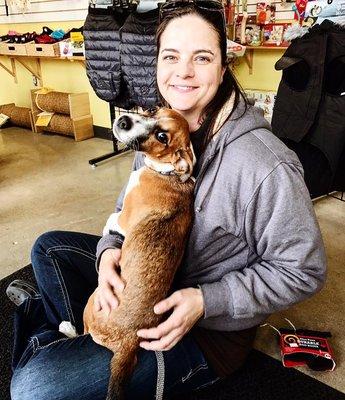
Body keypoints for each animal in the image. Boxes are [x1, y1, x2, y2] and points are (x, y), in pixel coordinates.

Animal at [83, 108, 195, 398]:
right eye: (154, 109)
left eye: (162, 136)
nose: (123, 121)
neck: (165, 173)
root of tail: (130, 341)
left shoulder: (124, 219)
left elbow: (112, 218)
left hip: (92, 301)